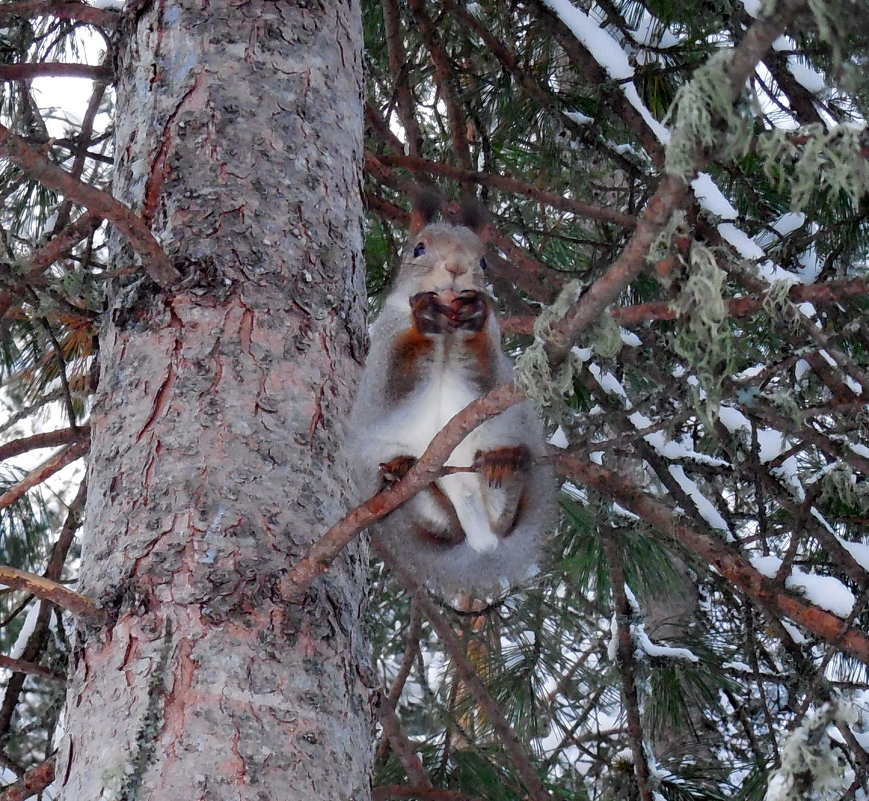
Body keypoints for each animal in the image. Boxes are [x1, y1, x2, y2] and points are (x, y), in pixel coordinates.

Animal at [344, 191, 552, 596]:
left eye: (483, 260)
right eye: (419, 248)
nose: (456, 267)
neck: (448, 330)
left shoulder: (495, 360)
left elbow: (485, 376)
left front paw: (474, 318)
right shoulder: (382, 357)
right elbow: (395, 383)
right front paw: (423, 319)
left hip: (514, 429)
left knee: (499, 520)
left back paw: (504, 467)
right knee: (446, 530)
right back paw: (404, 479)